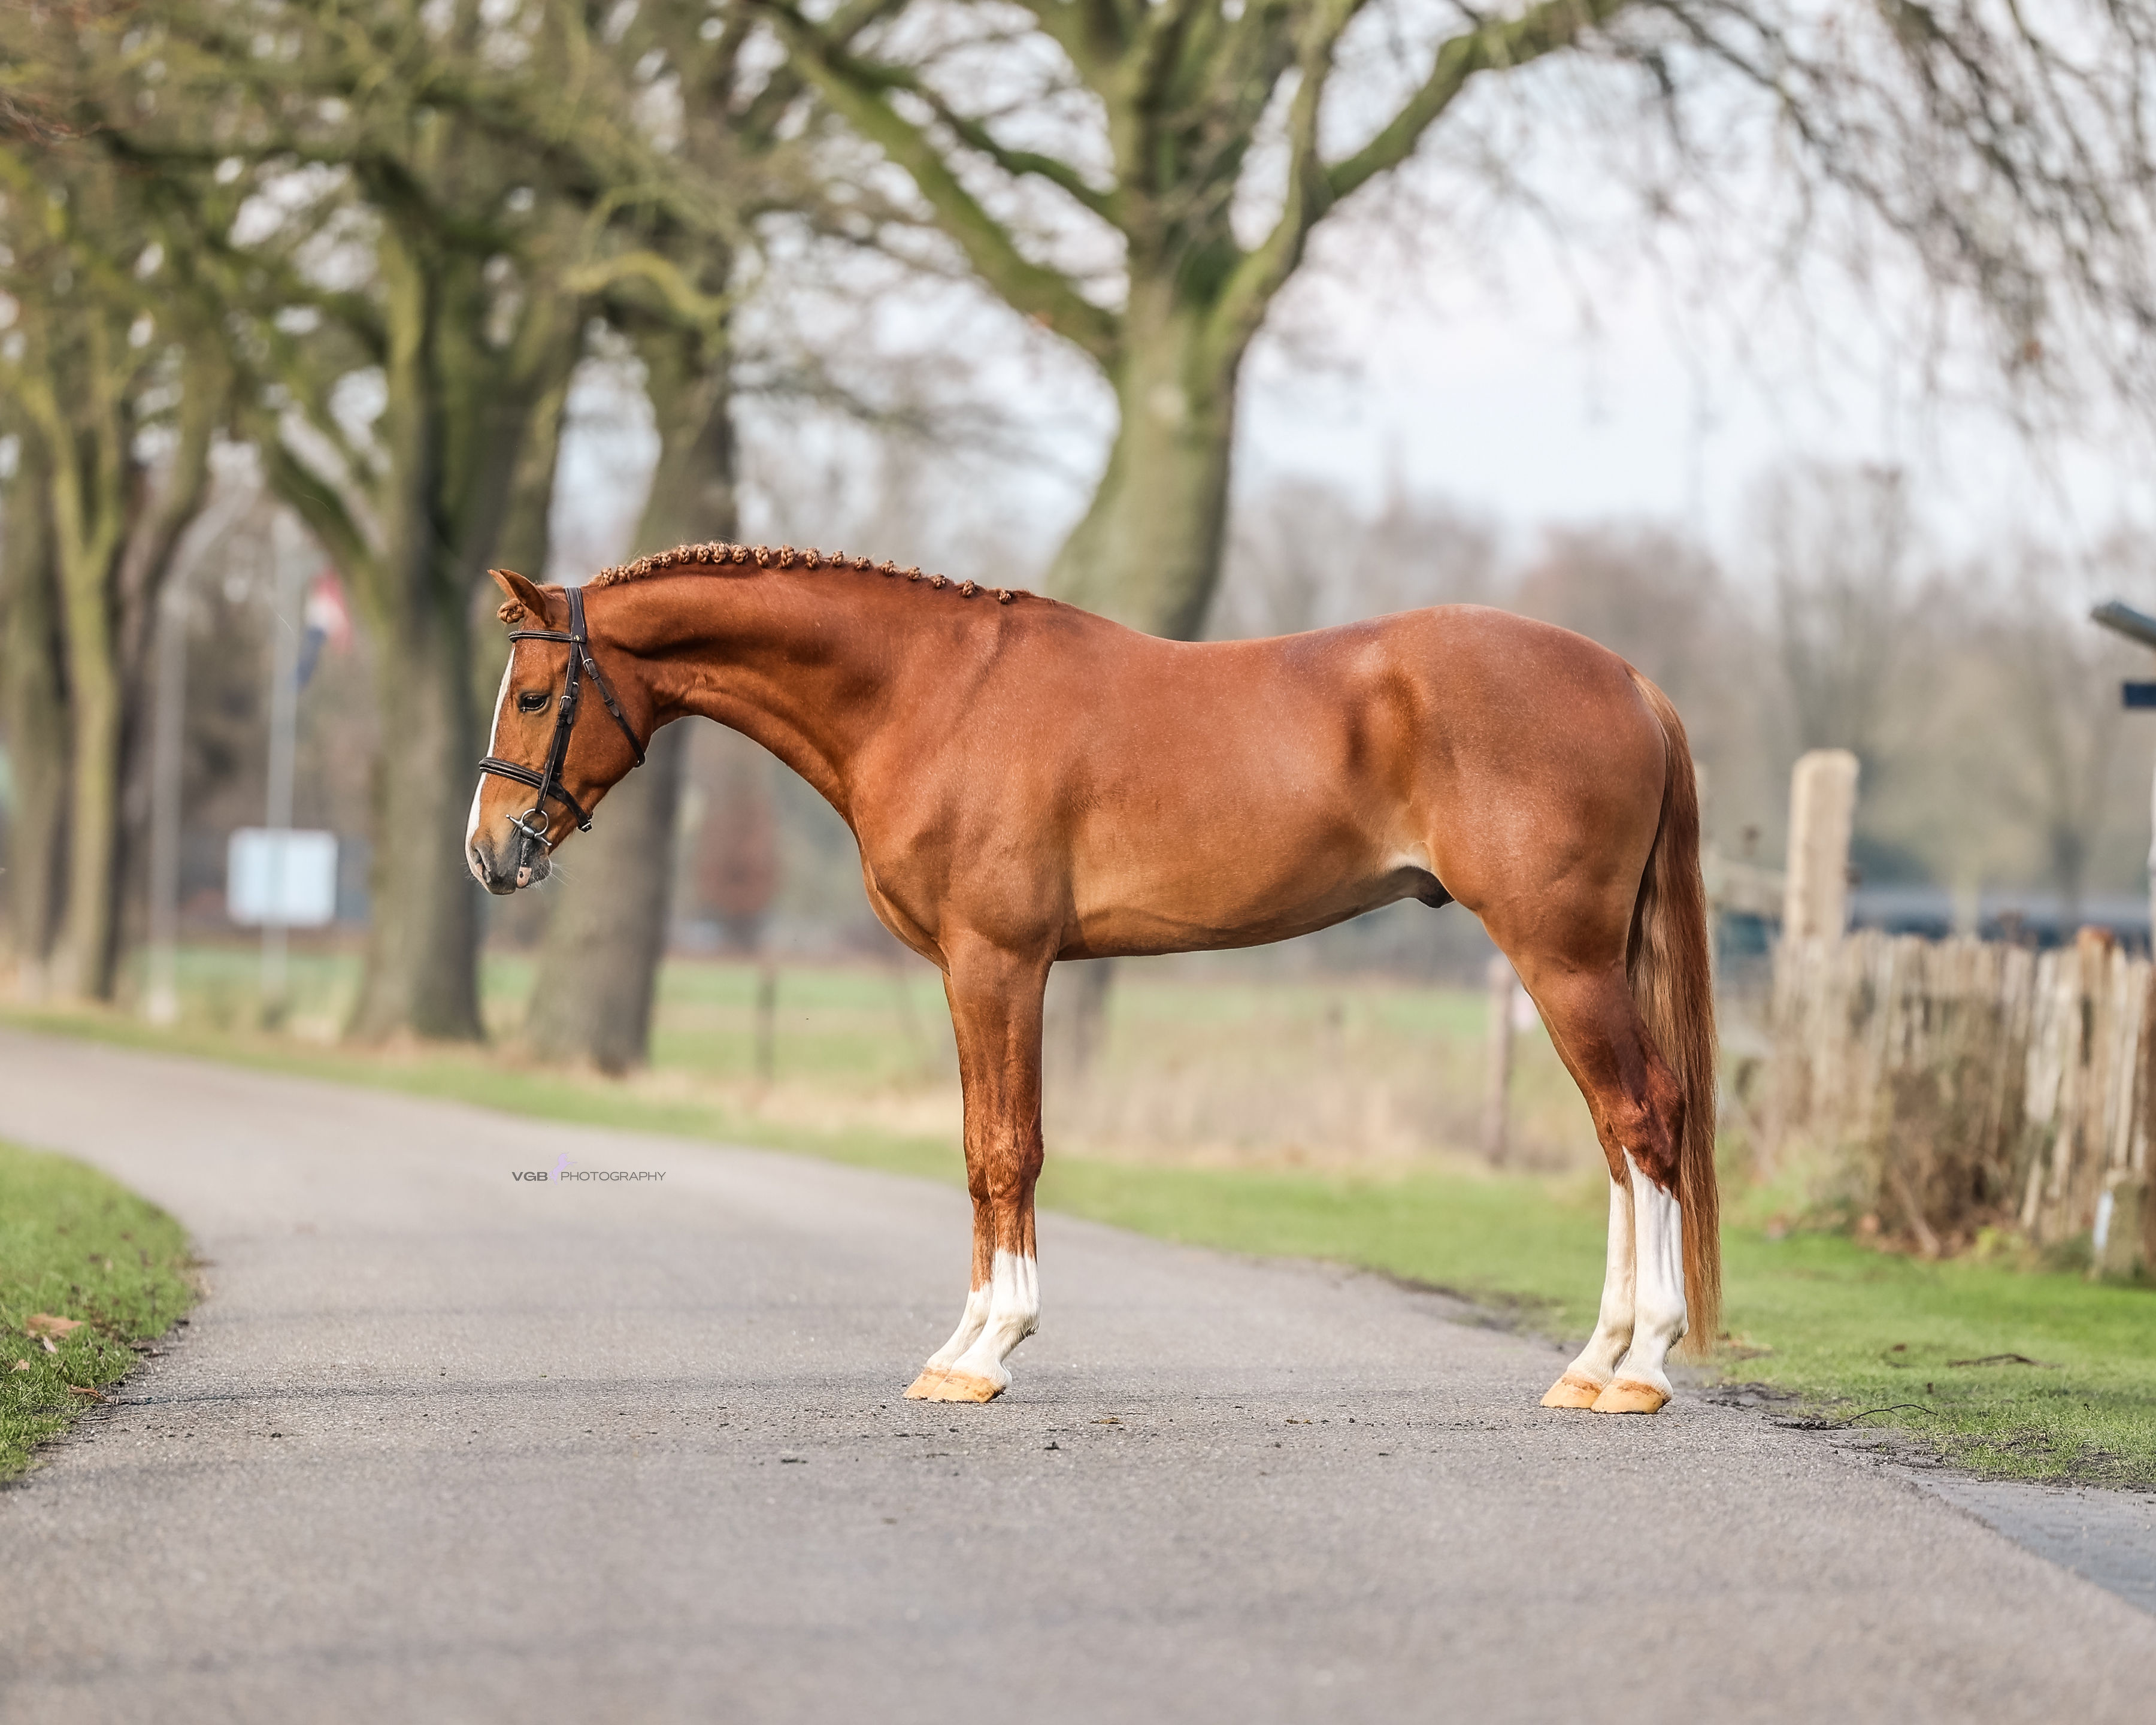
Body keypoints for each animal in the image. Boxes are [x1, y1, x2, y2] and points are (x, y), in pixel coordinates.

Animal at [467, 543, 1719, 1413]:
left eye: (531, 697)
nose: (491, 857)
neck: (928, 693)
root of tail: (1632, 681)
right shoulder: (974, 972)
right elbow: (977, 1150)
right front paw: (958, 1350)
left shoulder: (1000, 965)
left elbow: (1003, 1152)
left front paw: (989, 1354)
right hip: (1577, 963)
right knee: (1618, 1144)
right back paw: (1593, 1364)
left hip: (1560, 957)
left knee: (1643, 1119)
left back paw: (1640, 1369)